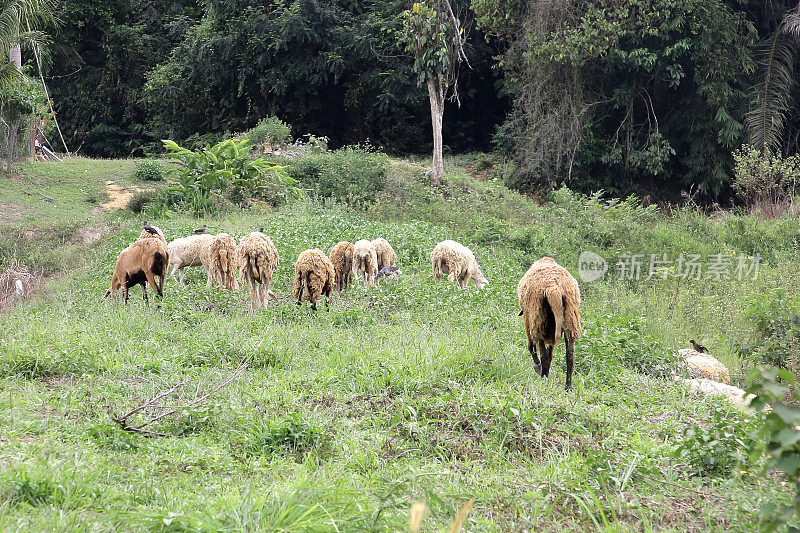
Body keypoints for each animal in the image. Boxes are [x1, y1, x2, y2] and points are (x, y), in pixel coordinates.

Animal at [520, 256, 580, 388]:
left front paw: (537, 367)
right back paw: (568, 386)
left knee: (544, 356)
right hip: (569, 320)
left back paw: (543, 377)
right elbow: (551, 352)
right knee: (569, 355)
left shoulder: (528, 320)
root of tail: (554, 288)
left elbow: (531, 347)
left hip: (539, 321)